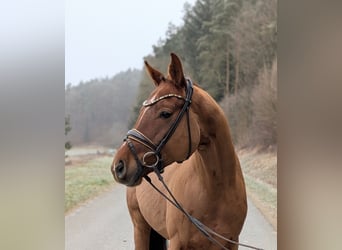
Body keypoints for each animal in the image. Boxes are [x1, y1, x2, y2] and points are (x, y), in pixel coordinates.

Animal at [111, 53, 247, 249]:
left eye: (165, 113)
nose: (118, 166)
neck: (217, 189)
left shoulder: (231, 243)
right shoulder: (177, 242)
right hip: (140, 227)